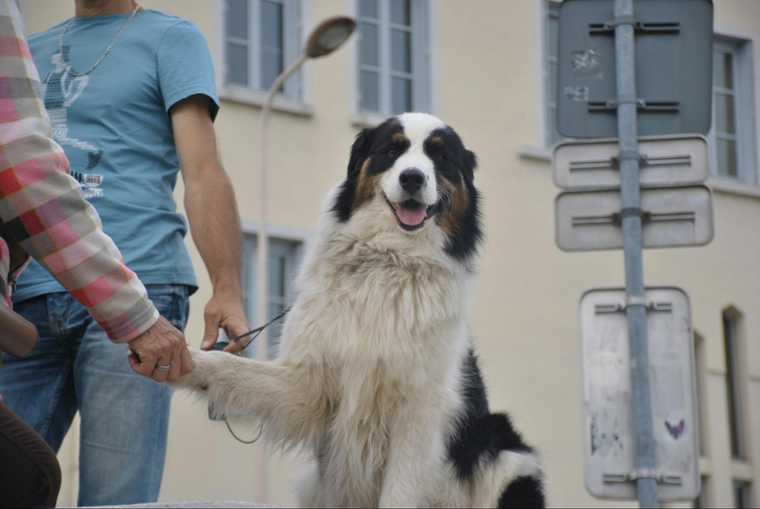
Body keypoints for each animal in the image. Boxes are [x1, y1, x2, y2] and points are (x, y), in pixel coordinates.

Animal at [177, 113, 548, 506]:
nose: (412, 177)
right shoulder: (308, 383)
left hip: (507, 454)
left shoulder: (420, 411)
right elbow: (227, 365)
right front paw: (182, 359)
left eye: (440, 156)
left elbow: (400, 492)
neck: (390, 260)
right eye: (391, 150)